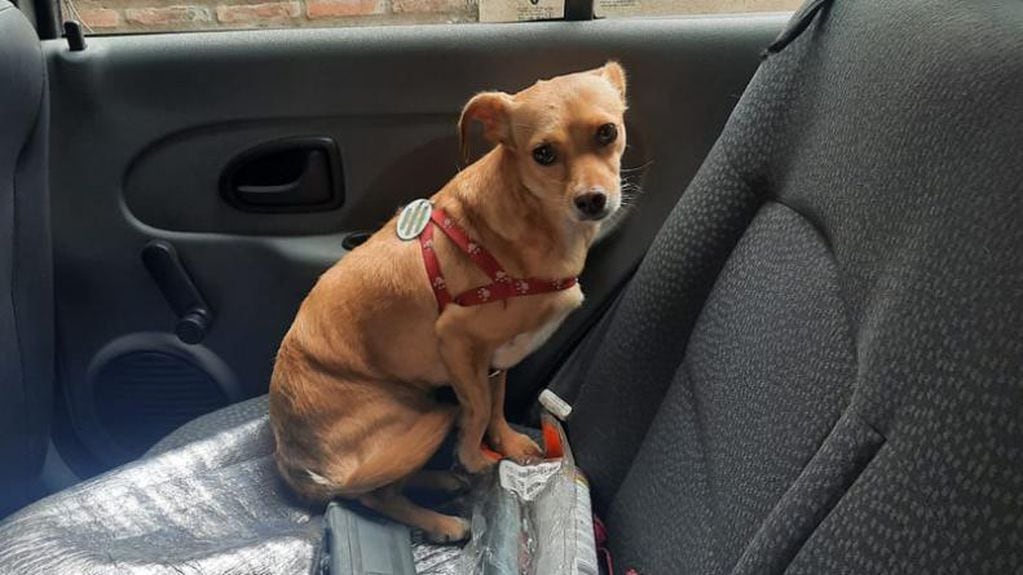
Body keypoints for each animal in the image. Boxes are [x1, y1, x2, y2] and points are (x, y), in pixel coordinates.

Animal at [268, 62, 626, 540]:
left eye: (607, 133)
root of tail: (295, 465)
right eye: (544, 154)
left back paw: (439, 481)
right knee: (375, 494)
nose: (592, 201)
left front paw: (507, 445)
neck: (537, 219)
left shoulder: (495, 358)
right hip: (404, 427)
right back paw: (441, 519)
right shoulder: (457, 340)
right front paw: (475, 459)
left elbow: (496, 406)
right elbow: (477, 411)